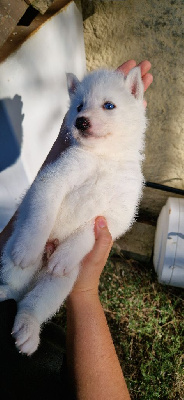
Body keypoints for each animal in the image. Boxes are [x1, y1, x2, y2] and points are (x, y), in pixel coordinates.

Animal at [0, 67, 147, 354]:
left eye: (109, 105)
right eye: (79, 106)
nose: (81, 122)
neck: (104, 158)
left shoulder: (114, 216)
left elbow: (86, 233)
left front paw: (65, 256)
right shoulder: (52, 180)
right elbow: (39, 218)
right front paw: (28, 248)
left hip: (59, 283)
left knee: (31, 303)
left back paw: (28, 327)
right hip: (11, 258)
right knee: (13, 287)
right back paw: (5, 290)